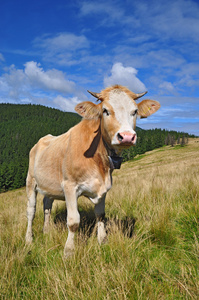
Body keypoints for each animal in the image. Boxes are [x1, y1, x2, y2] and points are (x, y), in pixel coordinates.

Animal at [26, 85, 160, 258]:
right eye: (105, 111)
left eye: (135, 111)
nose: (126, 137)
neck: (100, 162)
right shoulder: (69, 186)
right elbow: (73, 221)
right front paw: (69, 252)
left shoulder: (104, 188)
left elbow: (100, 215)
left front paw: (103, 241)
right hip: (30, 181)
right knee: (31, 210)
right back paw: (29, 239)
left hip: (50, 186)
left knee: (47, 206)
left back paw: (46, 231)